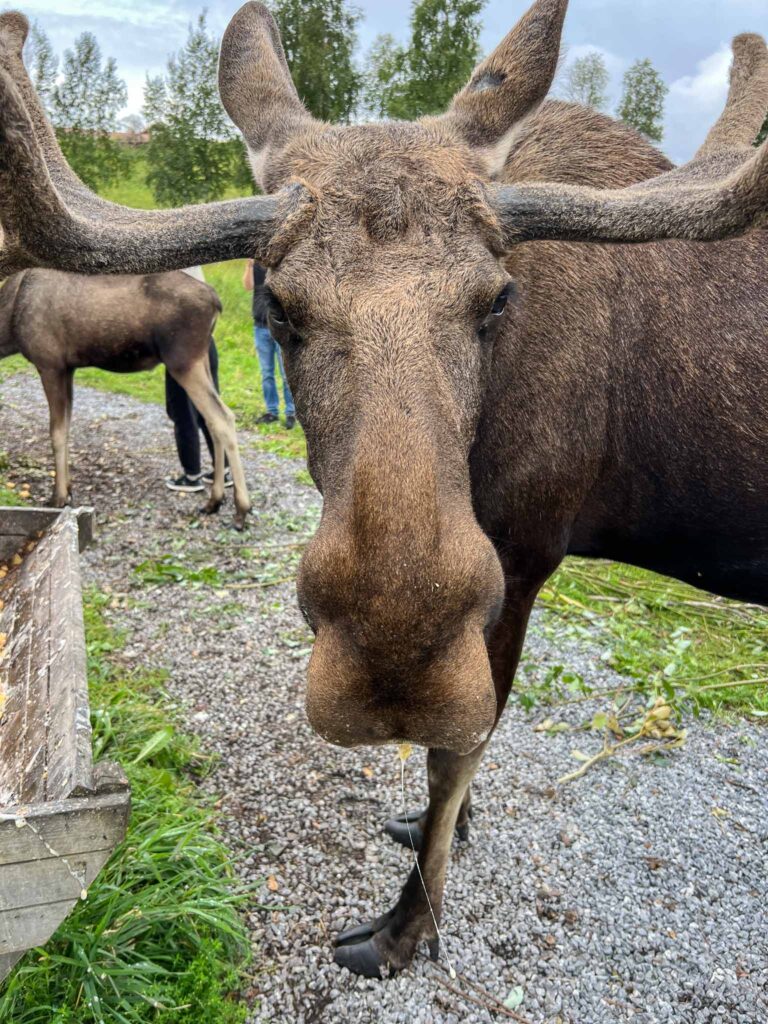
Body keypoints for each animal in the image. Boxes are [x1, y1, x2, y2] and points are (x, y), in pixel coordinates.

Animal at [0, 269, 252, 528]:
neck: (8, 326)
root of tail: (216, 302)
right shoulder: (68, 369)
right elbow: (66, 429)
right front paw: (68, 489)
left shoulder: (50, 365)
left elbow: (56, 433)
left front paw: (58, 496)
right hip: (201, 360)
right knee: (210, 421)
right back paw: (214, 501)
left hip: (182, 361)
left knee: (224, 417)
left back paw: (241, 509)